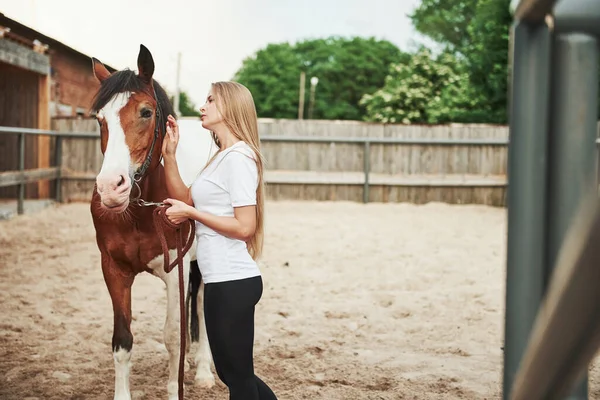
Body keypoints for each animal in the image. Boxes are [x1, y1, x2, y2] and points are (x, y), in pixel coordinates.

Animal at [89, 44, 216, 400]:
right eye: (100, 118)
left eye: (146, 112)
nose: (110, 187)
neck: (141, 210)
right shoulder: (114, 269)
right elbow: (122, 340)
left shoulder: (176, 269)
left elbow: (174, 338)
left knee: (203, 305)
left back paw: (203, 371)